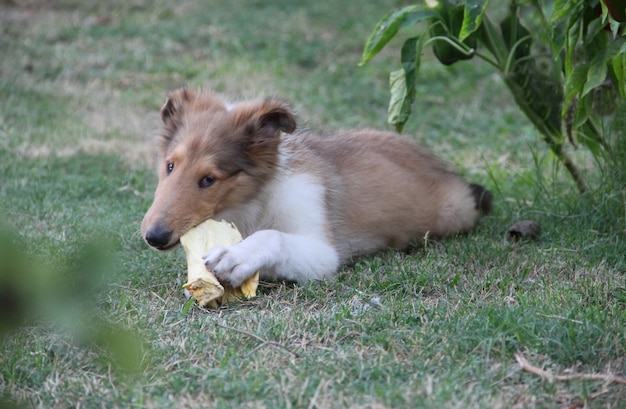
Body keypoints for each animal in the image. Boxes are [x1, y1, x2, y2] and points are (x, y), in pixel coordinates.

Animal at [140, 89, 488, 286]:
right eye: (170, 166)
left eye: (209, 179)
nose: (154, 237)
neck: (253, 203)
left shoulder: (322, 247)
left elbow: (273, 236)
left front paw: (235, 257)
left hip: (452, 211)